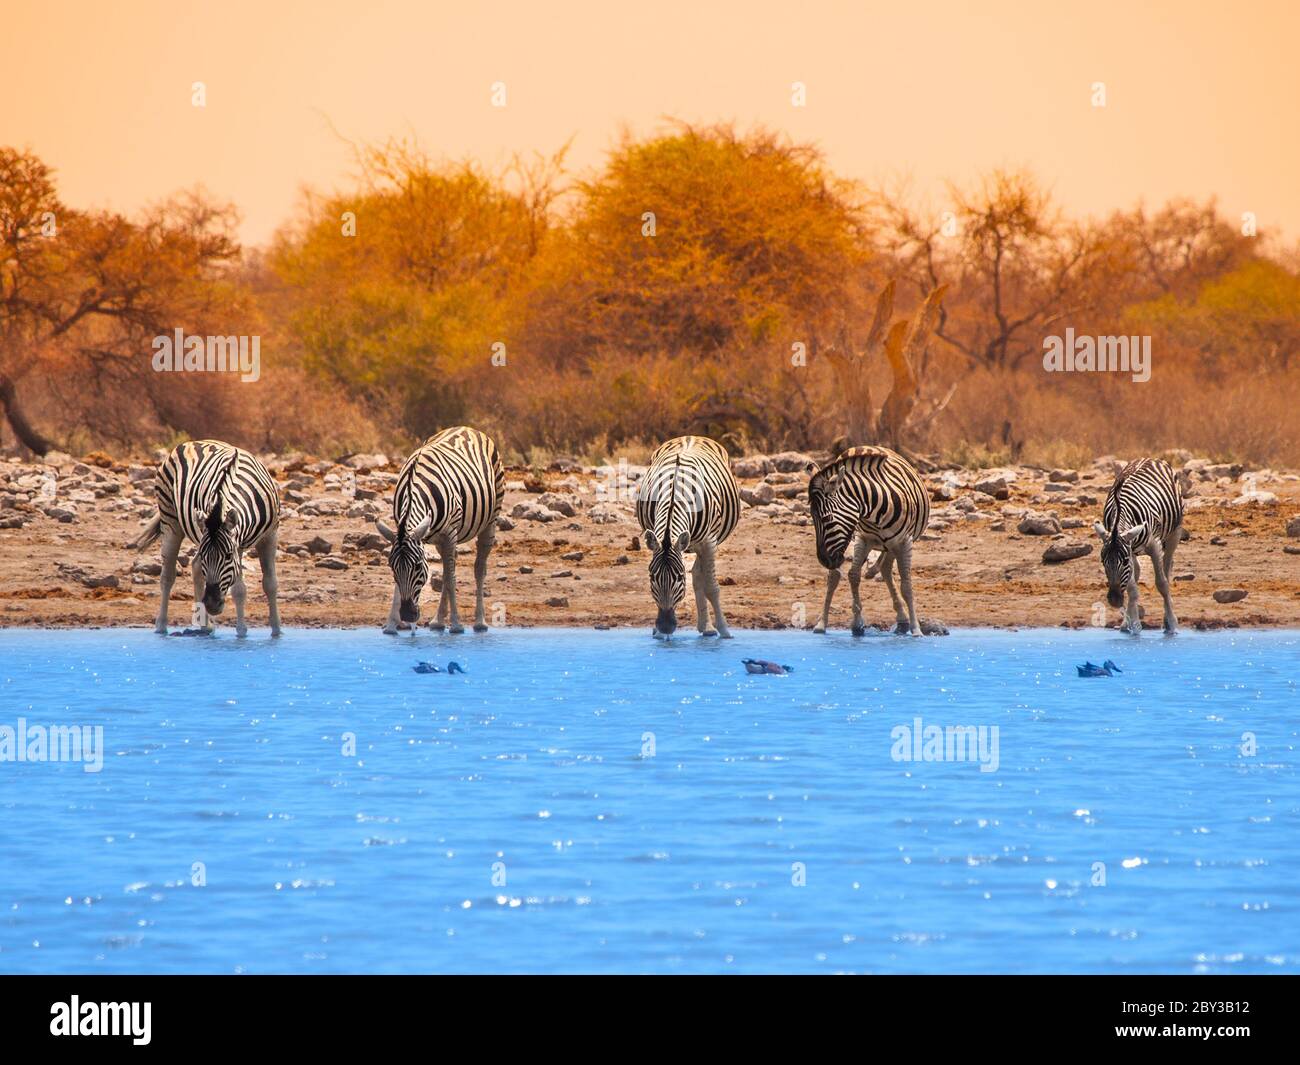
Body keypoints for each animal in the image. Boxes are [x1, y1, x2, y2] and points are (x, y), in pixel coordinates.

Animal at [130, 440, 281, 637]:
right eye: (206, 556)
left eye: (227, 556)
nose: (211, 605)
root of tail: (191, 442)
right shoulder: (235, 545)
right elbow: (239, 590)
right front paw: (241, 632)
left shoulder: (269, 536)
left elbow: (270, 584)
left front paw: (277, 630)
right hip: (170, 521)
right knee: (168, 576)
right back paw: (161, 626)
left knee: (195, 566)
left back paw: (205, 624)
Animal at [377, 425, 504, 634]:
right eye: (392, 567)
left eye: (418, 566)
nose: (408, 615)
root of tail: (467, 428)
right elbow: (441, 576)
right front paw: (391, 624)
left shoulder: (449, 534)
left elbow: (452, 578)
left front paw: (456, 625)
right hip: (439, 538)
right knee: (447, 568)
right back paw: (438, 621)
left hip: (490, 519)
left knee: (478, 568)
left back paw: (479, 622)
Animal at [635, 435, 742, 638]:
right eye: (652, 577)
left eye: (679, 577)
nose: (665, 626)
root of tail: (691, 437)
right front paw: (659, 634)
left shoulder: (709, 543)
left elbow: (712, 587)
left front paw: (724, 629)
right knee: (698, 575)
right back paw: (705, 626)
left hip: (705, 543)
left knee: (701, 576)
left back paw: (708, 627)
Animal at [808, 445, 929, 636]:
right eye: (812, 519)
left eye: (827, 519)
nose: (824, 560)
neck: (876, 510)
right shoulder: (863, 538)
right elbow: (853, 575)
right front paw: (857, 624)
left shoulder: (904, 542)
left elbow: (906, 585)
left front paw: (916, 629)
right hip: (853, 541)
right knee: (835, 577)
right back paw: (822, 624)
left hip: (891, 544)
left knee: (886, 569)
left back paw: (902, 619)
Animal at [1093, 457, 1185, 634]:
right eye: (1103, 562)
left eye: (1124, 562)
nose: (1114, 600)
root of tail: (1151, 458)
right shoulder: (1129, 548)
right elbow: (1132, 588)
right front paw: (1133, 624)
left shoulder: (1154, 546)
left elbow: (1162, 584)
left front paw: (1172, 624)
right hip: (1135, 548)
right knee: (1138, 574)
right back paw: (1126, 622)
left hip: (1174, 533)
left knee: (1167, 567)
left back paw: (1167, 619)